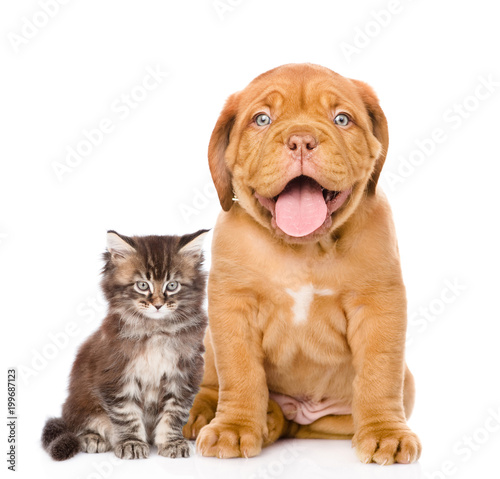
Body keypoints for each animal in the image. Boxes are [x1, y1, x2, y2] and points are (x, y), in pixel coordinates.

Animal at [41, 230, 209, 462]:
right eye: (142, 285)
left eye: (172, 285)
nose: (158, 304)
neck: (155, 330)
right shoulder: (116, 376)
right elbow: (126, 414)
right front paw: (132, 443)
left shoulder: (184, 375)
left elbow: (174, 413)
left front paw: (172, 443)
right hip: (81, 404)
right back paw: (93, 438)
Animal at [184, 62, 422, 464]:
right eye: (262, 119)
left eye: (341, 119)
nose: (300, 140)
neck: (304, 249)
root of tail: (300, 413)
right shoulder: (233, 308)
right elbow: (240, 373)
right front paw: (234, 427)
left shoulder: (378, 305)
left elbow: (379, 373)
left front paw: (385, 433)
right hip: (209, 342)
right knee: (214, 381)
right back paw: (211, 415)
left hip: (398, 387)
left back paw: (275, 420)